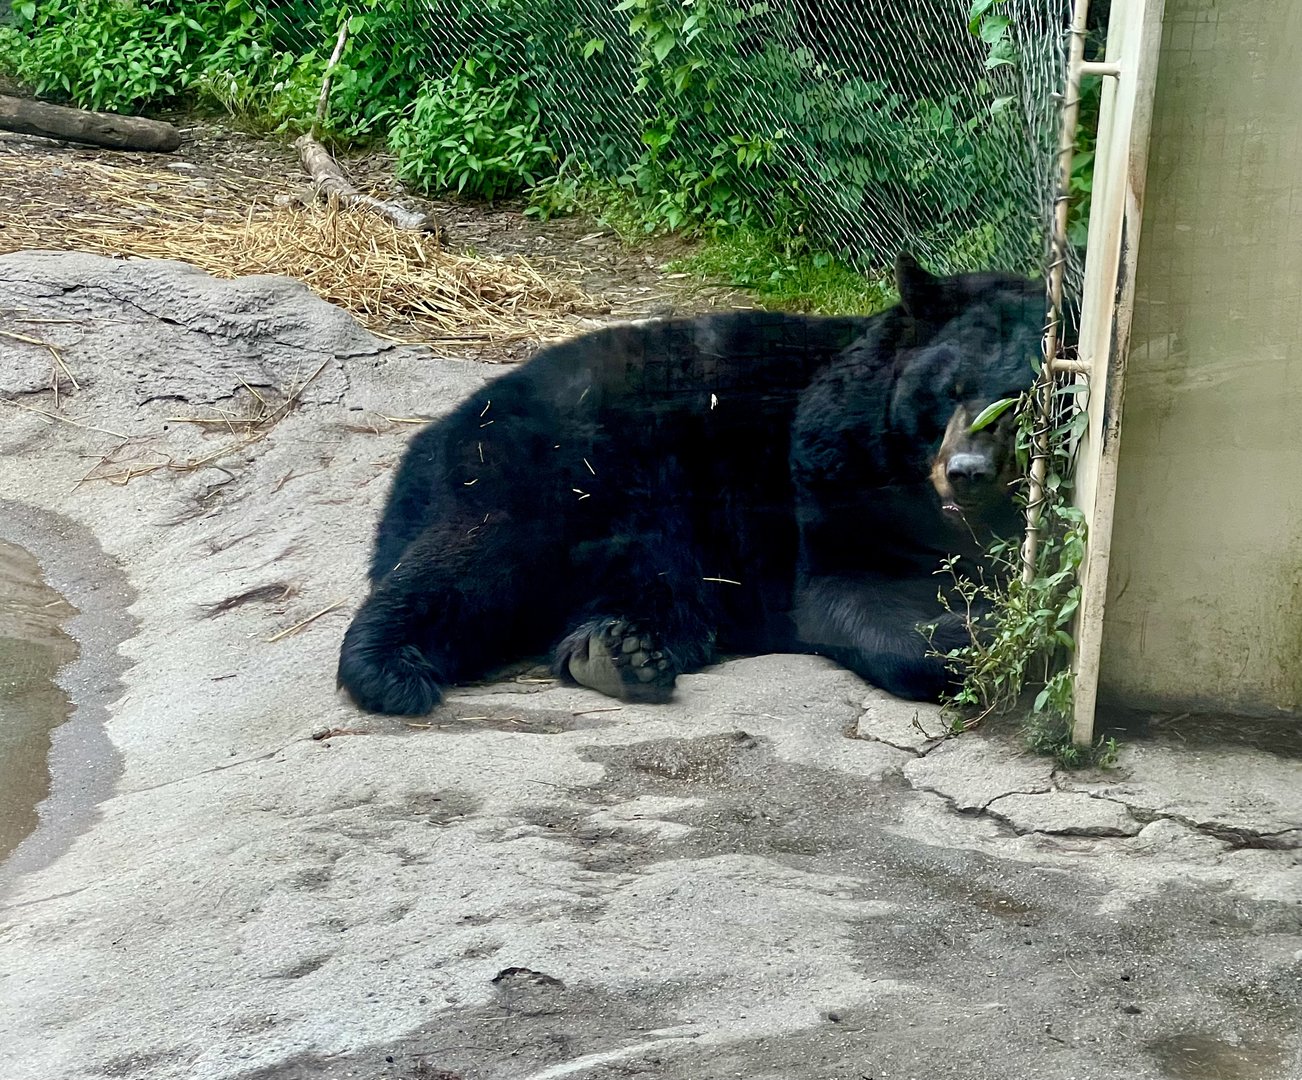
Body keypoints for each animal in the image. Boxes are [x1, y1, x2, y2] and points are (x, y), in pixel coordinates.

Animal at [337, 255, 1041, 716]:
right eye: (948, 391)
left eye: (1024, 399)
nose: (967, 472)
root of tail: (434, 435)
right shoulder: (837, 473)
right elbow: (849, 593)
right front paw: (982, 636)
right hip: (551, 467)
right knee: (467, 559)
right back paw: (389, 666)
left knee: (657, 594)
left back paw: (619, 651)